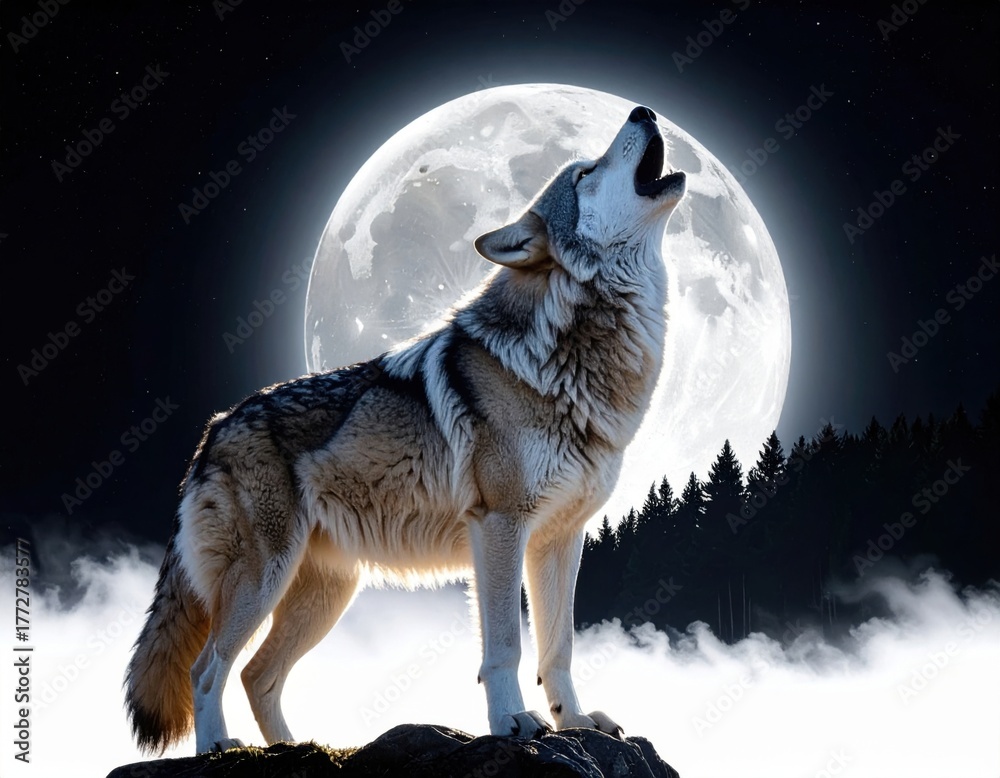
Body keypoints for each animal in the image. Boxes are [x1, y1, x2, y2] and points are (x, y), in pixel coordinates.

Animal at [125, 105, 685, 754]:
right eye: (585, 173)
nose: (642, 110)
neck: (572, 355)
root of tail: (213, 429)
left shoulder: (561, 537)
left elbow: (559, 649)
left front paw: (572, 721)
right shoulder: (500, 523)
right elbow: (506, 646)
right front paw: (513, 722)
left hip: (324, 594)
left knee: (255, 674)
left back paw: (296, 746)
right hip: (265, 578)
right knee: (207, 668)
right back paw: (220, 746)